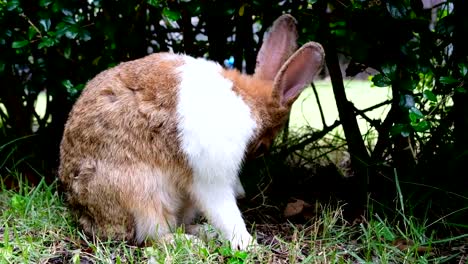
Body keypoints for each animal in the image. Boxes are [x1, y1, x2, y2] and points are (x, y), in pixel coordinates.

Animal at [58, 13, 324, 250]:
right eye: (262, 147)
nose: (257, 152)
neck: (247, 100)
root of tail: (84, 214)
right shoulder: (210, 175)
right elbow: (224, 210)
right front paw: (247, 244)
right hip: (141, 195)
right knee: (150, 236)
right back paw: (188, 242)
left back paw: (204, 233)